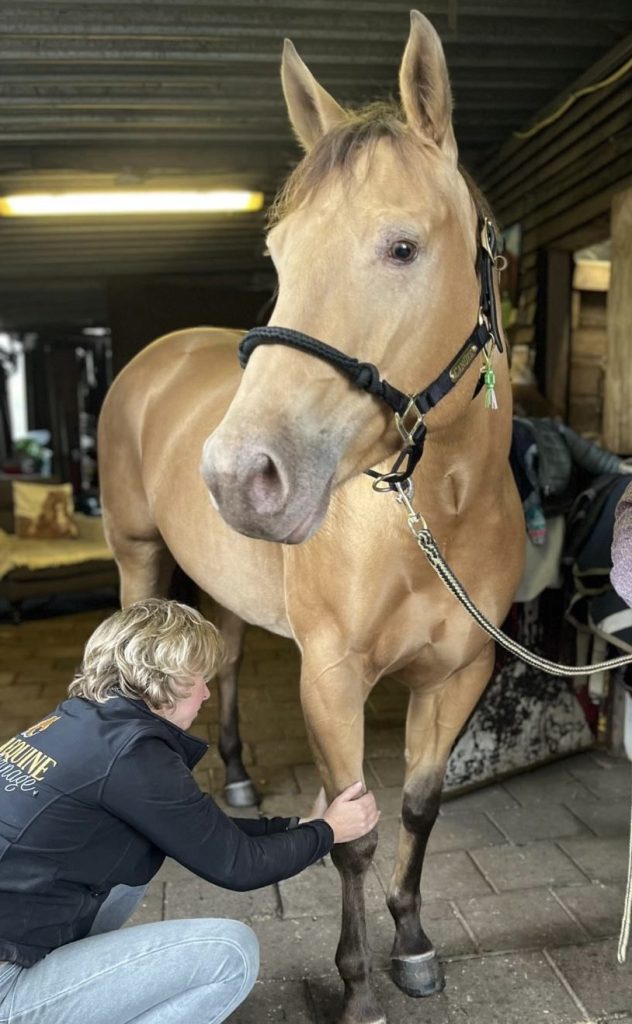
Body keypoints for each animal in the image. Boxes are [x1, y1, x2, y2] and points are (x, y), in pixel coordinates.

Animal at [98, 11, 524, 1023]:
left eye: (402, 247)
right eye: (280, 257)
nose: (236, 475)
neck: (431, 521)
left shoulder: (461, 673)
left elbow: (418, 808)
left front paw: (412, 944)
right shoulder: (331, 680)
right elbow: (352, 835)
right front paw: (358, 986)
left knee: (224, 656)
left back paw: (239, 776)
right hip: (138, 555)